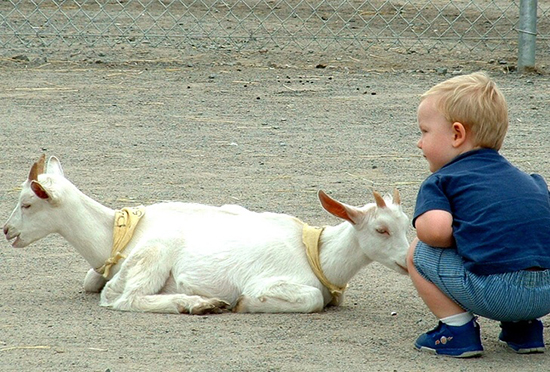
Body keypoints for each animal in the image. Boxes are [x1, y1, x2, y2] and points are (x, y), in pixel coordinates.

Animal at [4, 154, 410, 314]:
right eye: (381, 228)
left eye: (27, 203)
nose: (7, 230)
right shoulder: (276, 279)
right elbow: (308, 298)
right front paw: (245, 302)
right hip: (155, 254)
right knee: (126, 299)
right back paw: (198, 303)